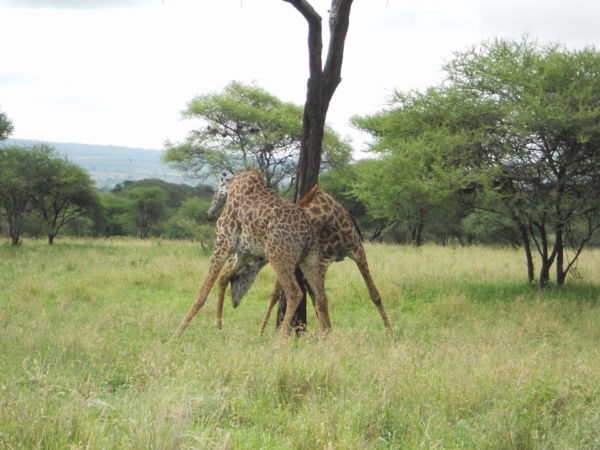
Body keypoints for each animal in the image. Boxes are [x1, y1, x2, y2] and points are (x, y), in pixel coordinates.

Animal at [173, 169, 332, 338]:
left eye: (214, 191)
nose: (209, 214)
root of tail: (308, 232)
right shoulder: (245, 254)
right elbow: (223, 278)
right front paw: (218, 327)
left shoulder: (223, 243)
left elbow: (202, 294)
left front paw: (176, 334)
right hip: (310, 259)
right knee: (321, 296)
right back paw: (326, 338)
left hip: (278, 255)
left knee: (294, 293)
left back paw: (280, 340)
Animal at [210, 172, 394, 338]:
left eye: (236, 278)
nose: (234, 301)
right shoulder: (320, 261)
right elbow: (318, 299)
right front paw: (326, 335)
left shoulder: (356, 249)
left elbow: (374, 294)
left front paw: (391, 334)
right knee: (290, 295)